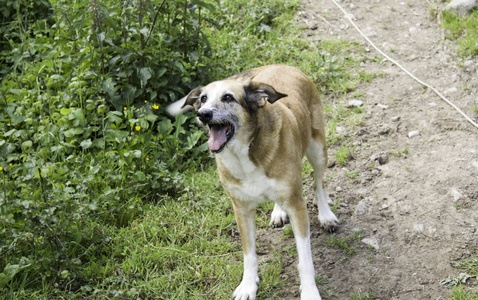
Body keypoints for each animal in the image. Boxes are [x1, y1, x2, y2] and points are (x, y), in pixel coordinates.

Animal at [168, 64, 340, 298]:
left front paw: (310, 292)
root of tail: (280, 64)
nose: (203, 114)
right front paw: (248, 286)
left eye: (228, 97)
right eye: (203, 98)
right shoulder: (241, 209)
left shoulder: (297, 205)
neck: (244, 153)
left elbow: (305, 259)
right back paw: (278, 211)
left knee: (318, 183)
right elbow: (249, 254)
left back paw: (326, 216)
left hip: (318, 149)